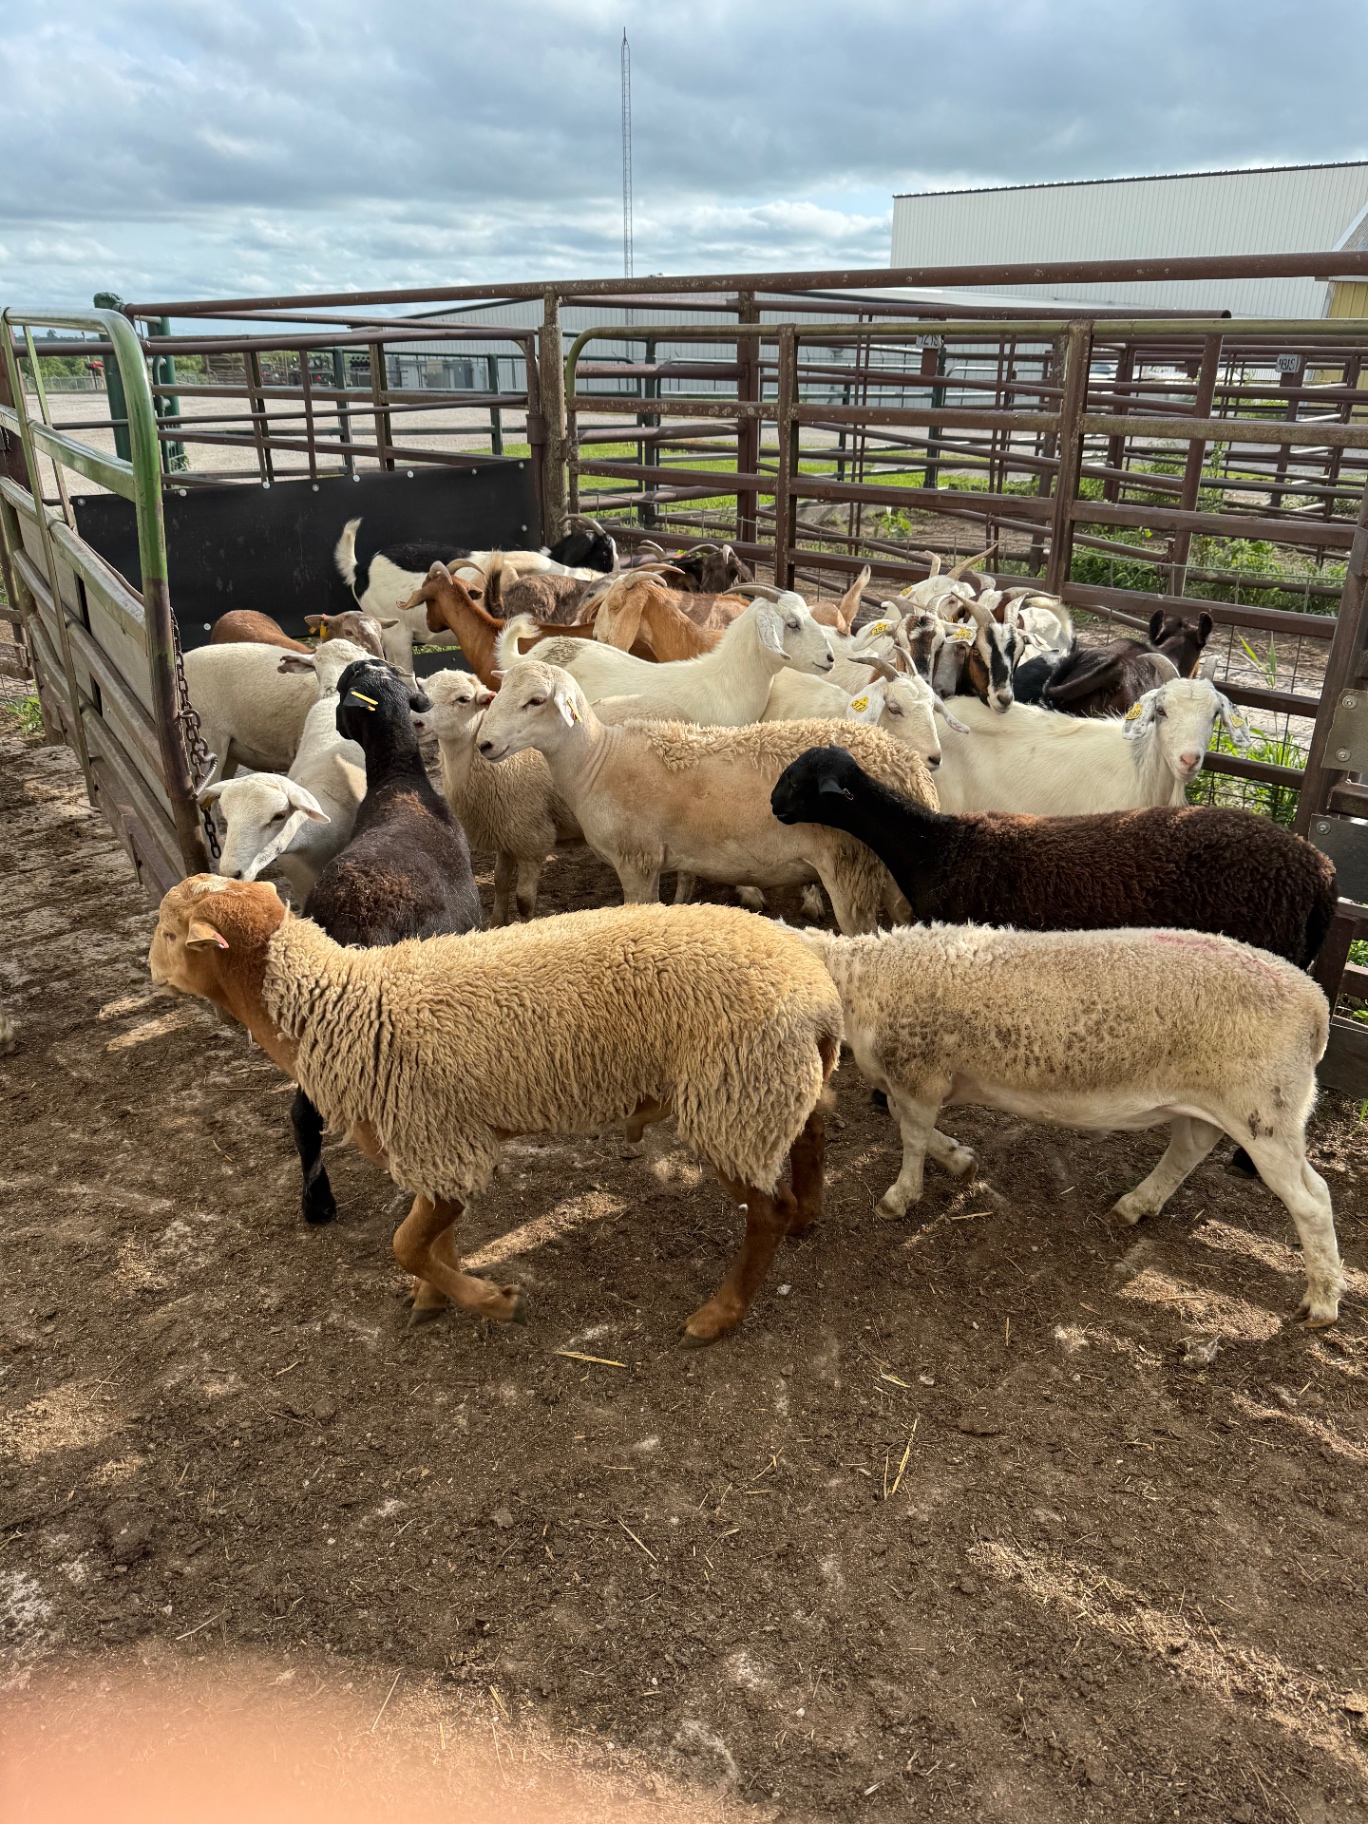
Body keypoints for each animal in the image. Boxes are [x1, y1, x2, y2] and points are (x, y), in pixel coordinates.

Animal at [149, 882, 842, 1345]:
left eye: (167, 933)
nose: (149, 969)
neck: (338, 1004)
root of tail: (819, 1001)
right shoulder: (439, 1141)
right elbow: (432, 1238)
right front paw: (436, 1295)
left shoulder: (436, 1137)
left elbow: (407, 1242)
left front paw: (494, 1302)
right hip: (770, 1088)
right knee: (812, 1132)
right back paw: (808, 1214)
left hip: (733, 1098)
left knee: (766, 1212)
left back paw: (719, 1314)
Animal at [410, 668, 582, 924]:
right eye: (423, 691)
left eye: (463, 699)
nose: (416, 722)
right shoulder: (504, 834)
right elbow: (500, 882)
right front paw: (497, 923)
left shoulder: (533, 840)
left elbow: (524, 900)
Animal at [475, 660, 936, 932]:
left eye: (536, 700)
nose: (484, 744)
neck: (597, 759)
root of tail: (908, 766)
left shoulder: (637, 860)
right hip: (887, 864)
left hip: (848, 864)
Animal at [797, 921, 1342, 1327]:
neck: (860, 980)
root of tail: (1316, 1003)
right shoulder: (918, 1082)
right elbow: (905, 1122)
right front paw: (959, 1160)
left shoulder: (919, 1074)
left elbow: (908, 1136)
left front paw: (901, 1196)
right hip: (1208, 1102)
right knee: (1187, 1151)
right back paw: (1136, 1205)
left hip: (1265, 1110)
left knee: (1313, 1201)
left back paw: (1322, 1301)